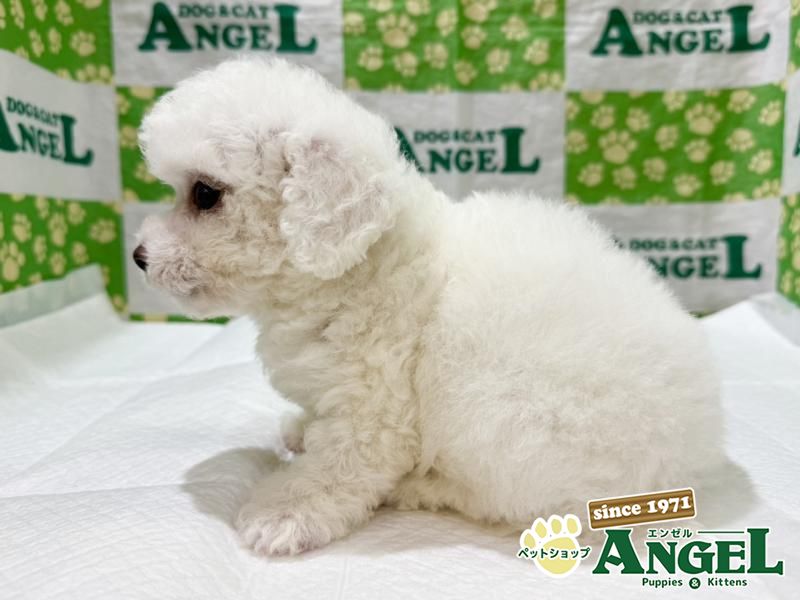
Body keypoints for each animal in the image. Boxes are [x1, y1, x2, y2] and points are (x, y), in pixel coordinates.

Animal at [135, 57, 737, 556]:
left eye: (205, 194)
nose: (139, 257)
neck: (358, 268)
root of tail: (695, 457)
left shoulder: (375, 410)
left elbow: (338, 468)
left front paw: (283, 514)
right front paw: (301, 429)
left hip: (502, 419)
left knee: (501, 499)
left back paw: (420, 486)